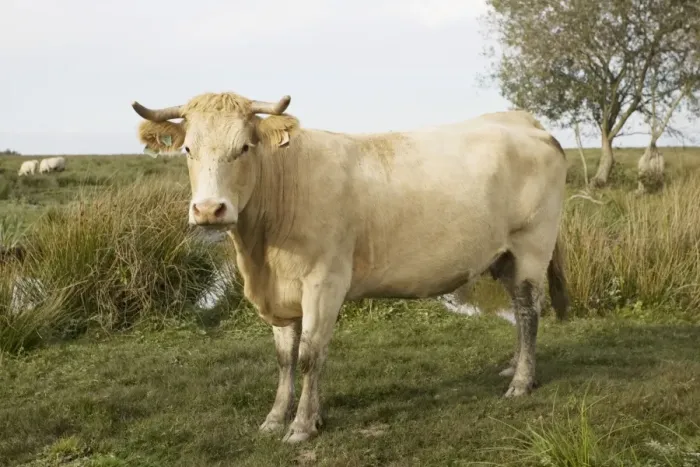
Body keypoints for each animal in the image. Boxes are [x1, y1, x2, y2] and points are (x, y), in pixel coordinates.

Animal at [130, 91, 570, 443]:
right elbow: (285, 358)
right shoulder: (281, 292)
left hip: (531, 247)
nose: (209, 210)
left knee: (529, 310)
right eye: (188, 150)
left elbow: (310, 354)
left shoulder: (324, 282)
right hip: (504, 256)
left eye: (244, 148)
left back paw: (521, 382)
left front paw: (302, 426)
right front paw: (276, 418)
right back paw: (513, 367)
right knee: (518, 310)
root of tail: (523, 122)